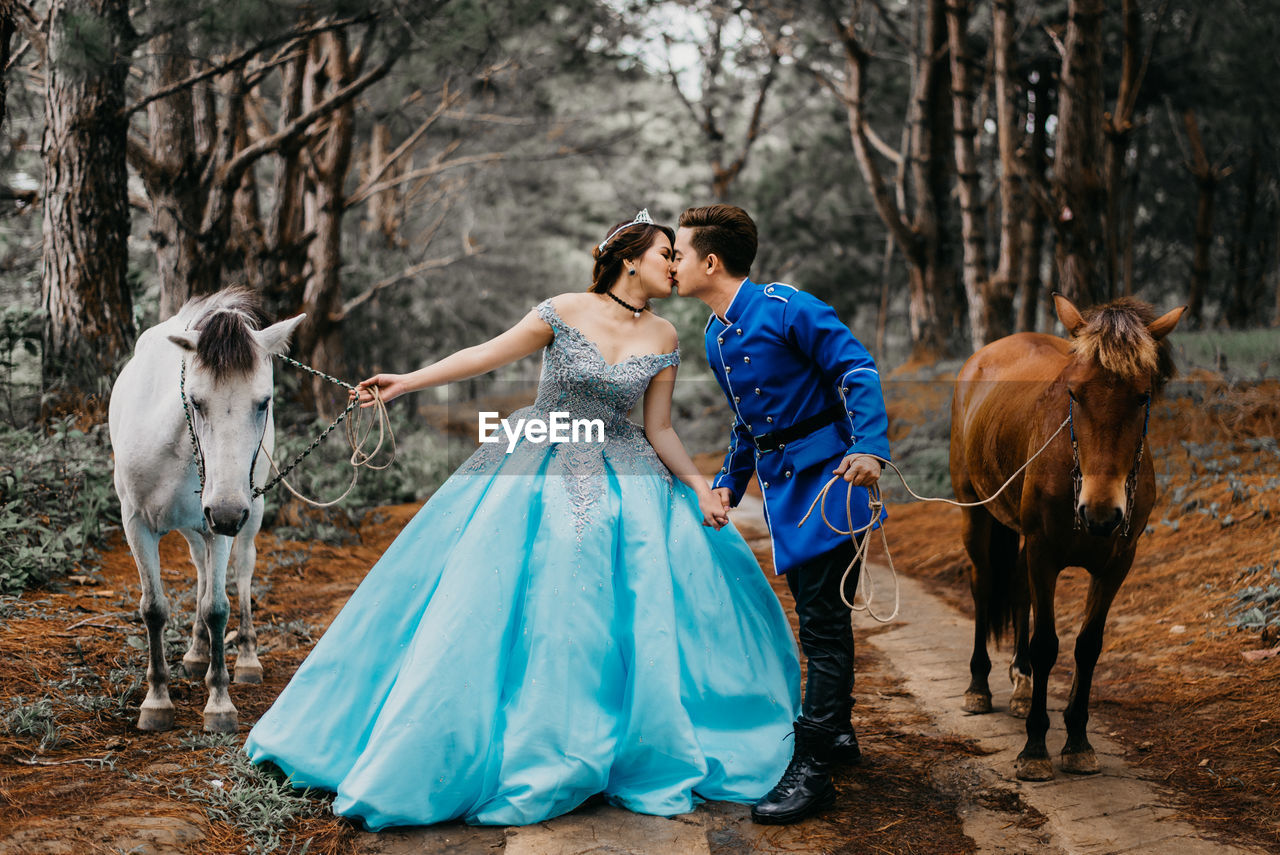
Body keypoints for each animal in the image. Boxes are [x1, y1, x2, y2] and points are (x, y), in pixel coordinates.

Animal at [110, 290, 304, 732]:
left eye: (263, 402)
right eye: (196, 401)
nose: (228, 513)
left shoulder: (223, 524)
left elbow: (217, 608)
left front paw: (219, 703)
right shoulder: (137, 523)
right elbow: (153, 608)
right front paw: (157, 699)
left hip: (247, 516)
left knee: (242, 573)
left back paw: (246, 658)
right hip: (198, 524)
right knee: (200, 568)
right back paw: (197, 653)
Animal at [947, 295, 1182, 783]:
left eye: (1143, 395)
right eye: (1074, 393)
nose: (1100, 514)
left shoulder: (1117, 563)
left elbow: (1087, 647)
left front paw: (1077, 741)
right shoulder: (1044, 553)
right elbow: (1046, 644)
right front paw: (1035, 749)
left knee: (1018, 591)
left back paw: (1021, 685)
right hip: (974, 512)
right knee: (983, 585)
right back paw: (978, 686)